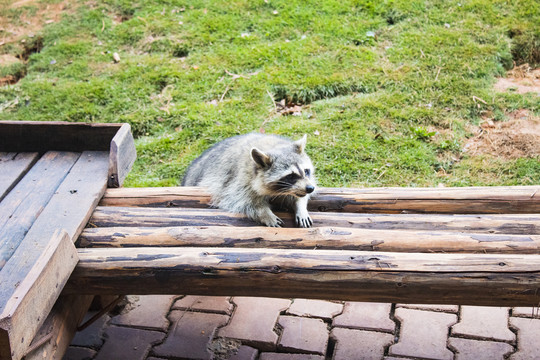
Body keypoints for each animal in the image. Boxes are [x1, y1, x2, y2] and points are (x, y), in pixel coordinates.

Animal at [182, 132, 316, 228]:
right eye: (291, 176)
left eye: (306, 171)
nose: (310, 188)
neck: (273, 147)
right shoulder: (240, 179)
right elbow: (244, 201)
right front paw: (265, 214)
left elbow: (299, 196)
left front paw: (300, 206)